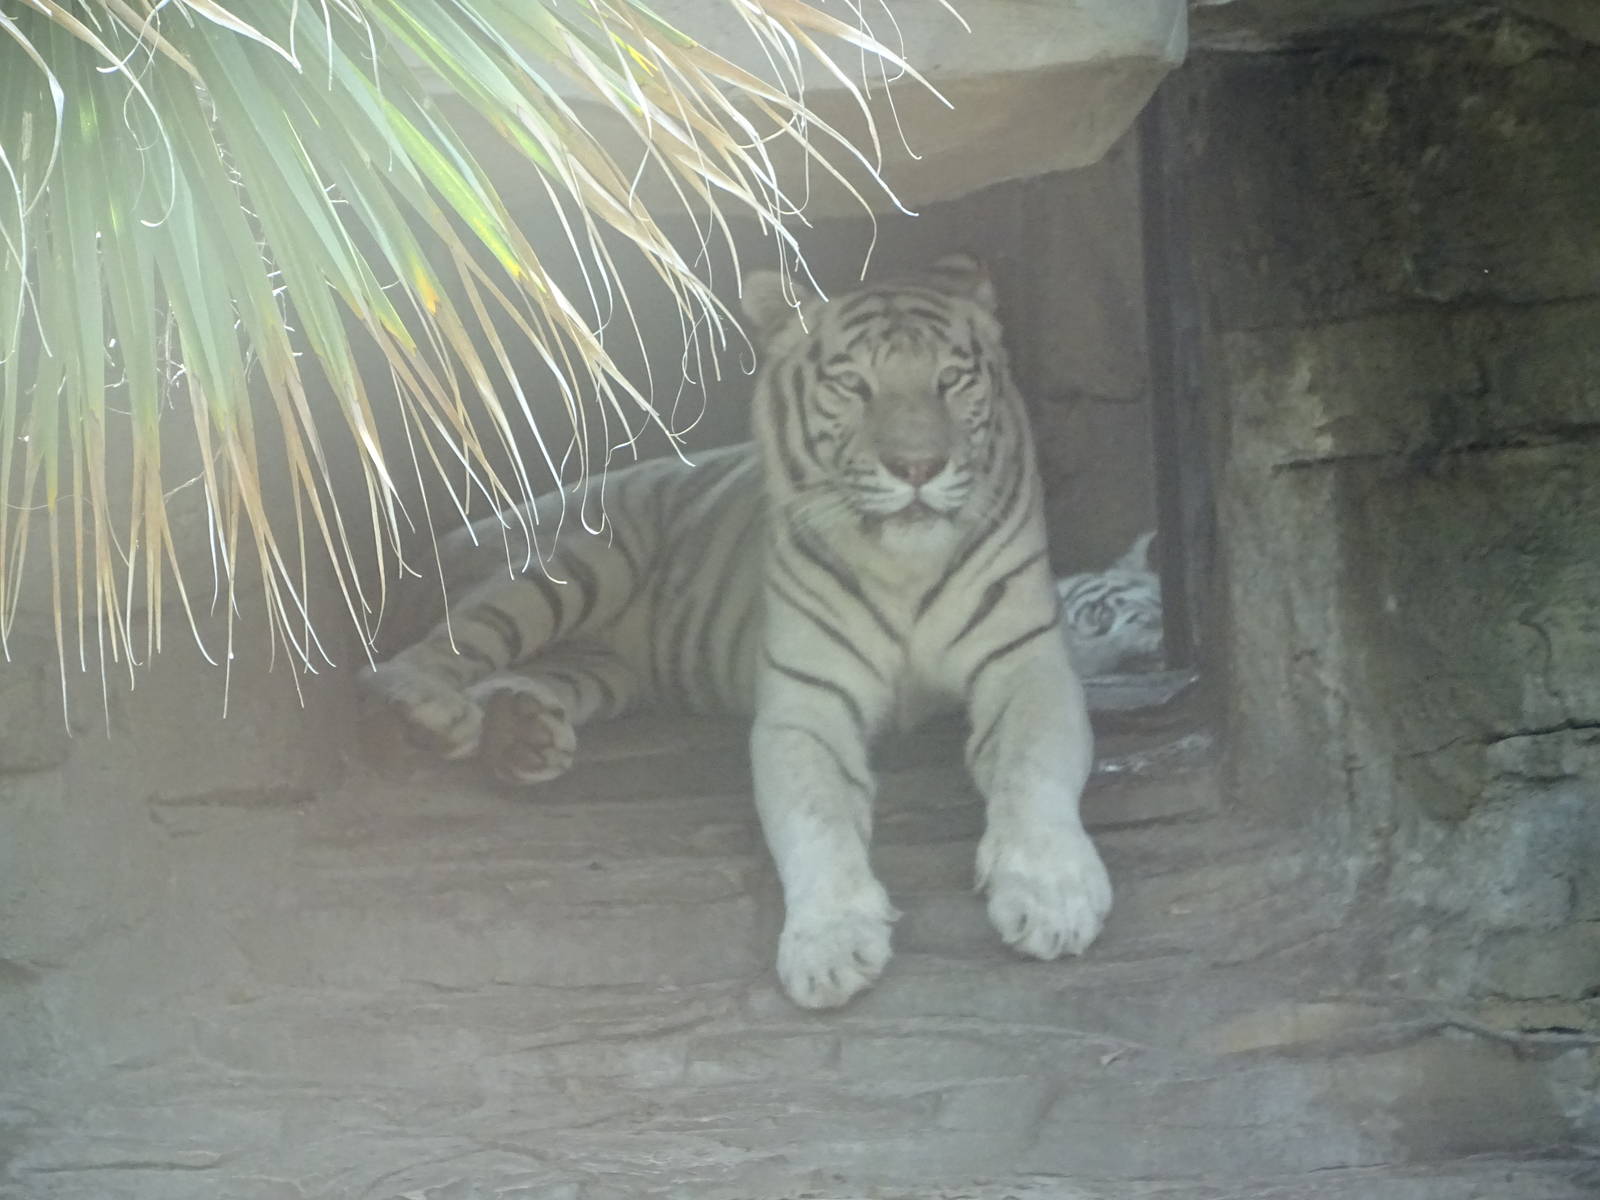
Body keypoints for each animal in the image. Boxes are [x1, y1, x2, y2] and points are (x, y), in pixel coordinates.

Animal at [358, 254, 1112, 1009]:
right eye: (854, 385)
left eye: (951, 380)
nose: (918, 467)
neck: (904, 567)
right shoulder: (805, 707)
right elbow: (815, 820)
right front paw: (829, 946)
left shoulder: (1026, 669)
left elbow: (1032, 773)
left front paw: (1052, 899)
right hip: (576, 562)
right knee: (414, 658)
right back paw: (436, 711)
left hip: (606, 668)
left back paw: (521, 735)